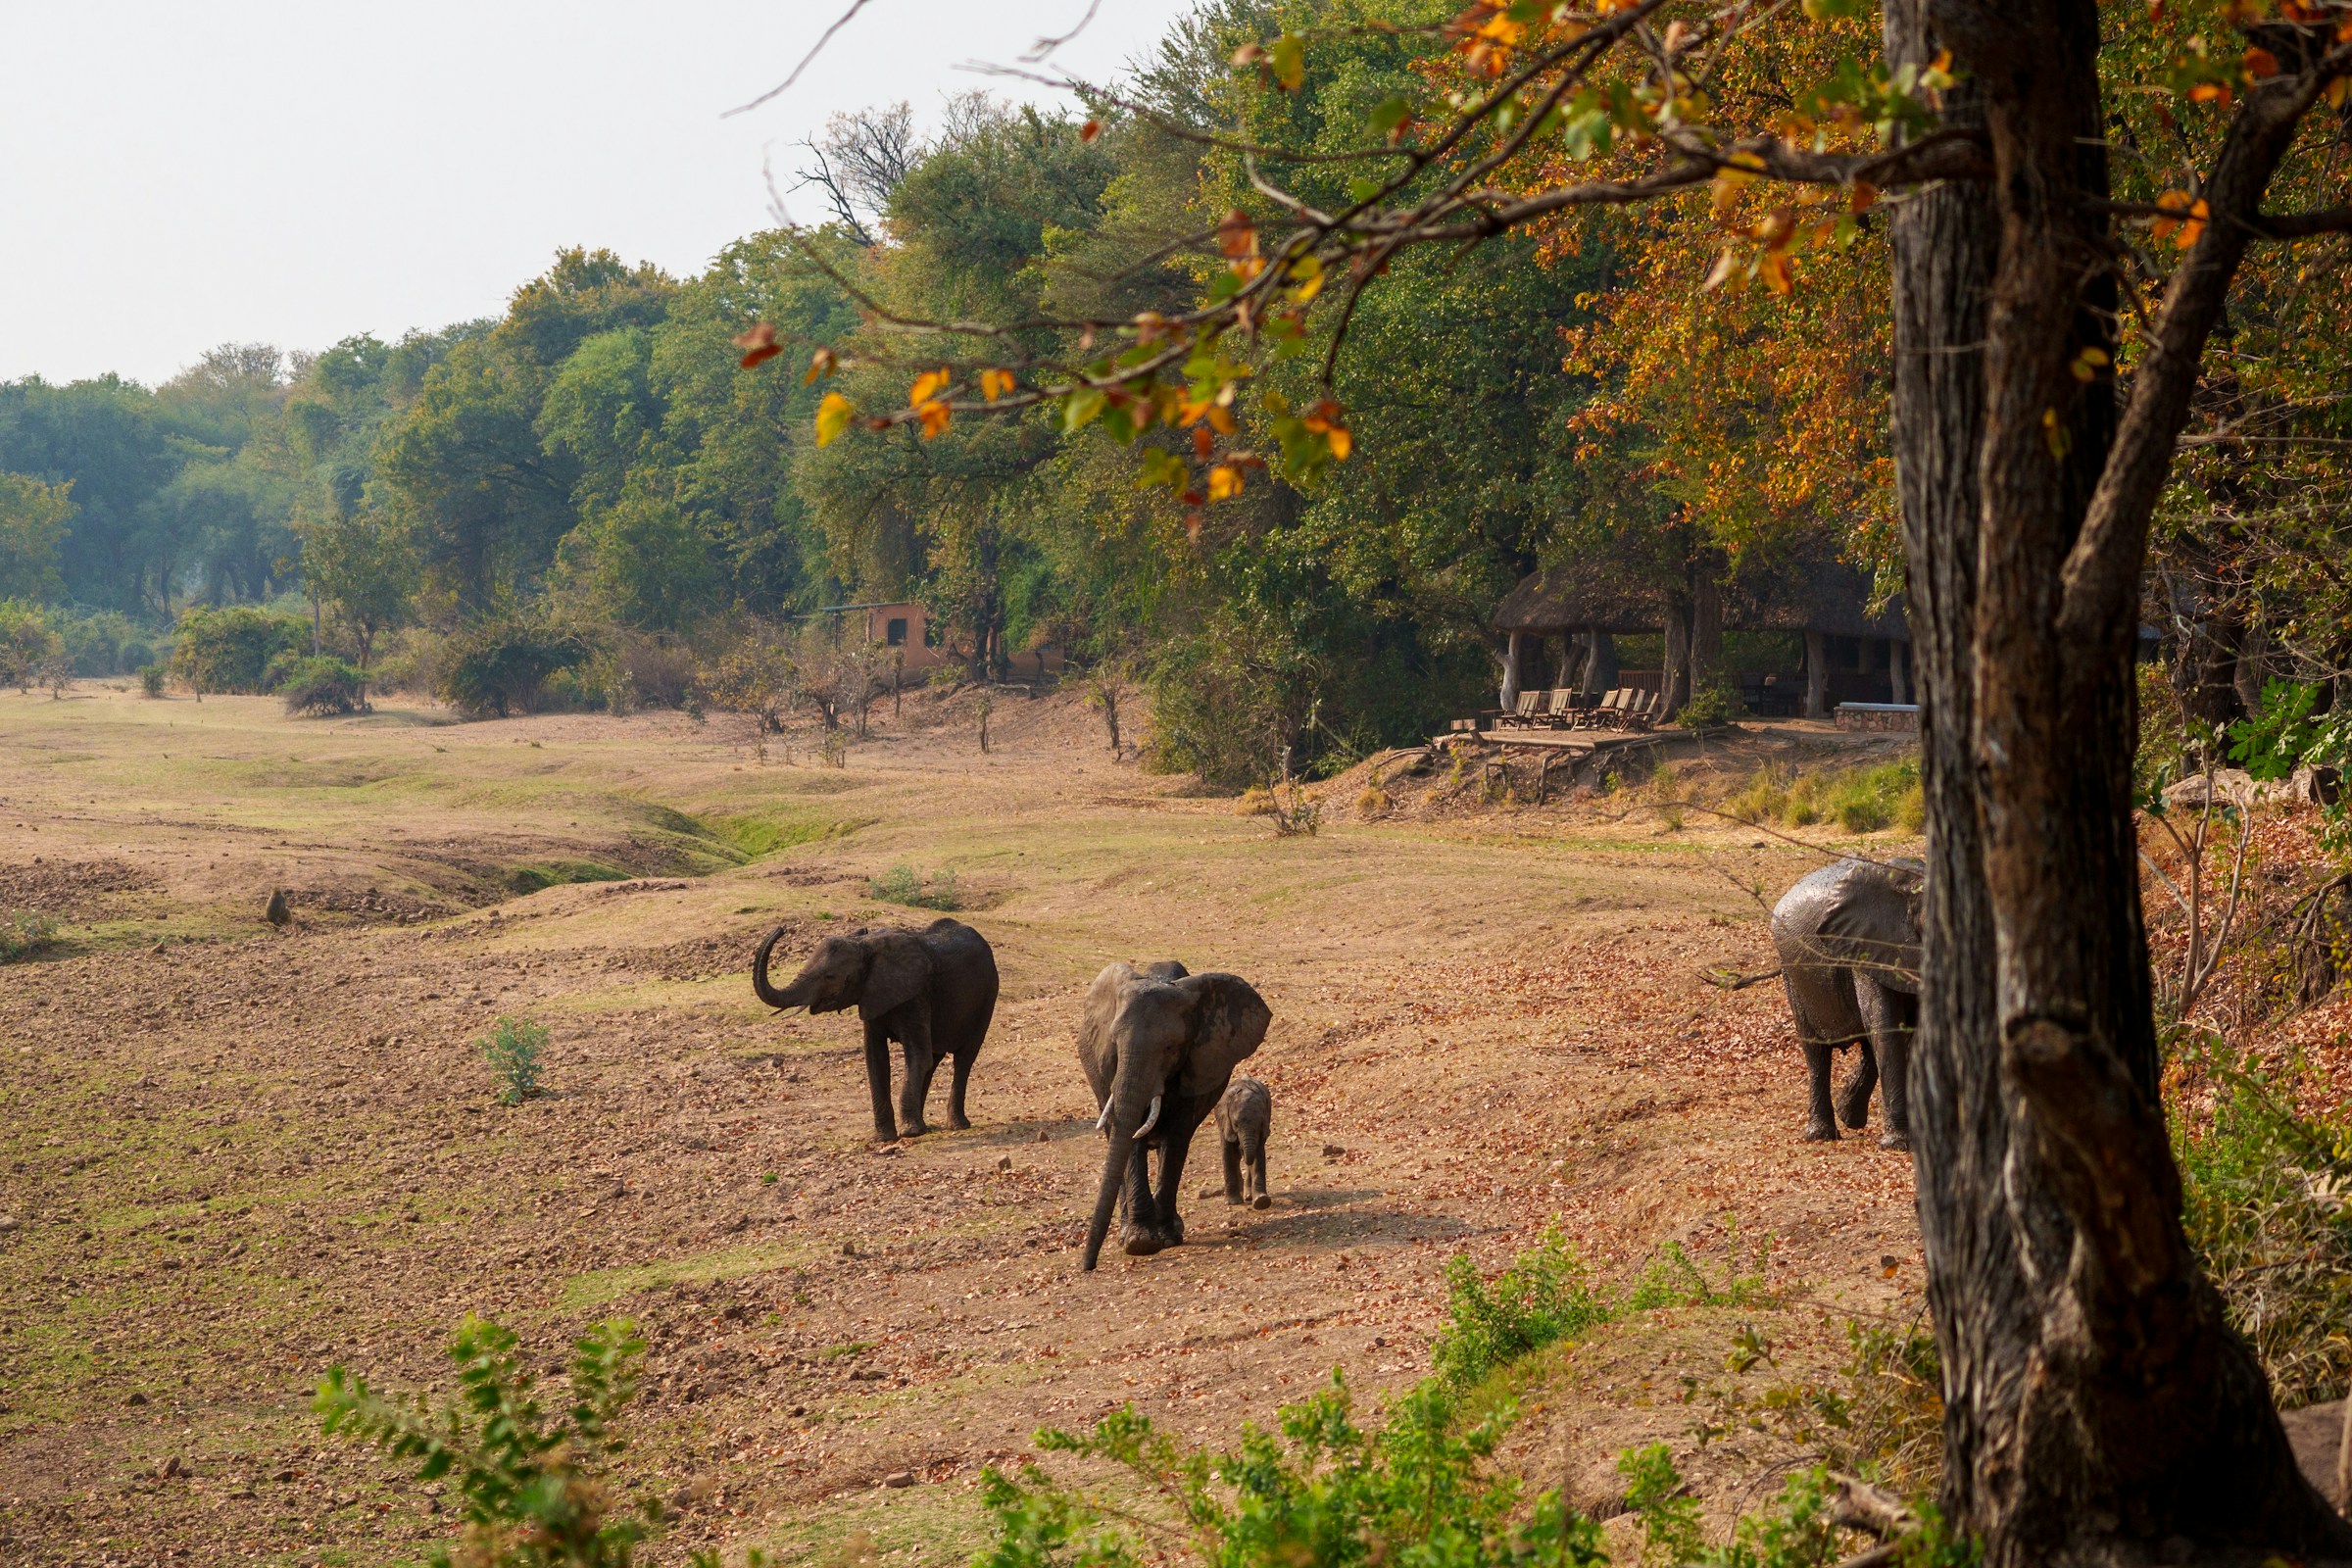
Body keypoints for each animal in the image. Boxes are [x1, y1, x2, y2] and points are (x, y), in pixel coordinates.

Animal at [752, 918, 998, 1142]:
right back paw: (926, 1127)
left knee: (963, 1059)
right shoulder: (872, 996)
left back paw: (955, 1125)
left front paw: (909, 1133)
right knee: (933, 1060)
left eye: (830, 976)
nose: (781, 928)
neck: (864, 944)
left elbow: (917, 1055)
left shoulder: (916, 996)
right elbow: (876, 1059)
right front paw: (883, 1138)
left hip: (987, 997)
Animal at [1214, 1076, 1272, 1210]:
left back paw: (1248, 1196)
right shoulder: (1225, 1123)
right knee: (1235, 1157)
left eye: (1260, 1124)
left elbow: (1258, 1154)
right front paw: (1232, 1202)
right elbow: (1227, 1153)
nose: (1241, 1146)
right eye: (1236, 1124)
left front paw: (1261, 1201)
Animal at [1769, 858, 1922, 1147]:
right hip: (1792, 971)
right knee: (1816, 1052)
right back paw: (1821, 1134)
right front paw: (1899, 1144)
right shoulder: (1867, 948)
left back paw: (1848, 1115)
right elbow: (1886, 1028)